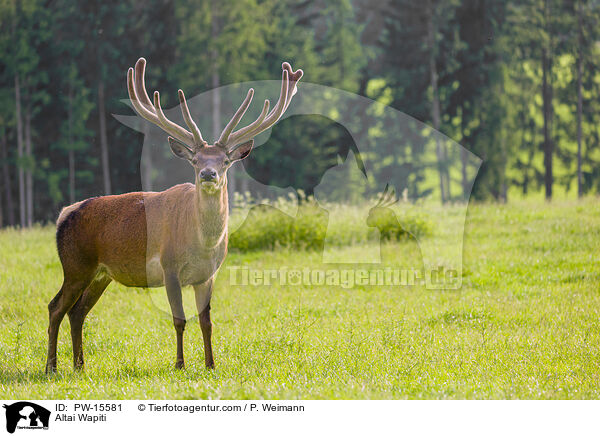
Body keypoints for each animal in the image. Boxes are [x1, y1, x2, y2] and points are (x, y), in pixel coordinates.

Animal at [44, 56, 302, 372]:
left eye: (225, 160)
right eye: (196, 160)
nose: (208, 173)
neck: (202, 245)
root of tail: (64, 214)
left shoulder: (207, 276)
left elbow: (206, 322)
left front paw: (211, 364)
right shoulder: (169, 267)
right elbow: (179, 320)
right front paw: (179, 364)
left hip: (101, 274)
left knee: (77, 311)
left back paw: (80, 365)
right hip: (76, 264)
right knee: (56, 307)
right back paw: (52, 366)